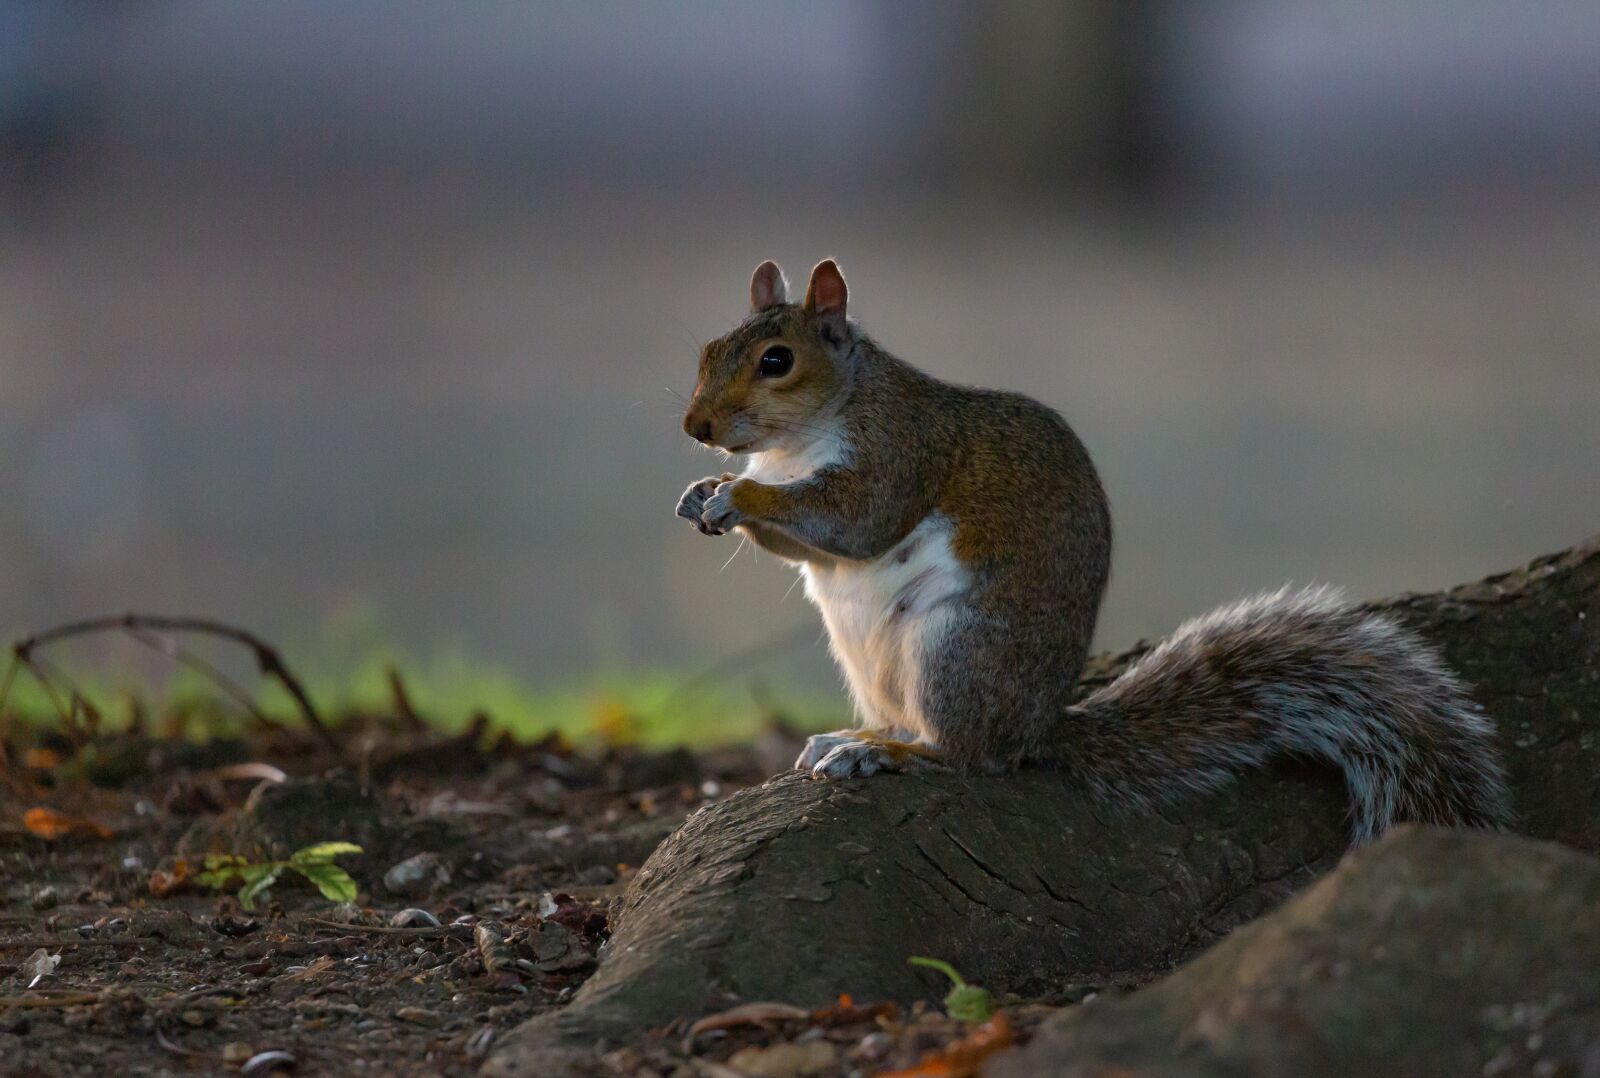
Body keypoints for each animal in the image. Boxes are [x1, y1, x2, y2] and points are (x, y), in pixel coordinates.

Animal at [675, 258, 1511, 841]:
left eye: (776, 361)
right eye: (708, 349)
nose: (696, 428)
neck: (800, 441)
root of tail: (1040, 725)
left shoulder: (900, 452)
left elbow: (857, 522)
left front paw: (737, 495)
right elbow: (813, 554)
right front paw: (703, 492)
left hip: (956, 648)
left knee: (972, 755)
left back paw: (893, 754)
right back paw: (862, 736)